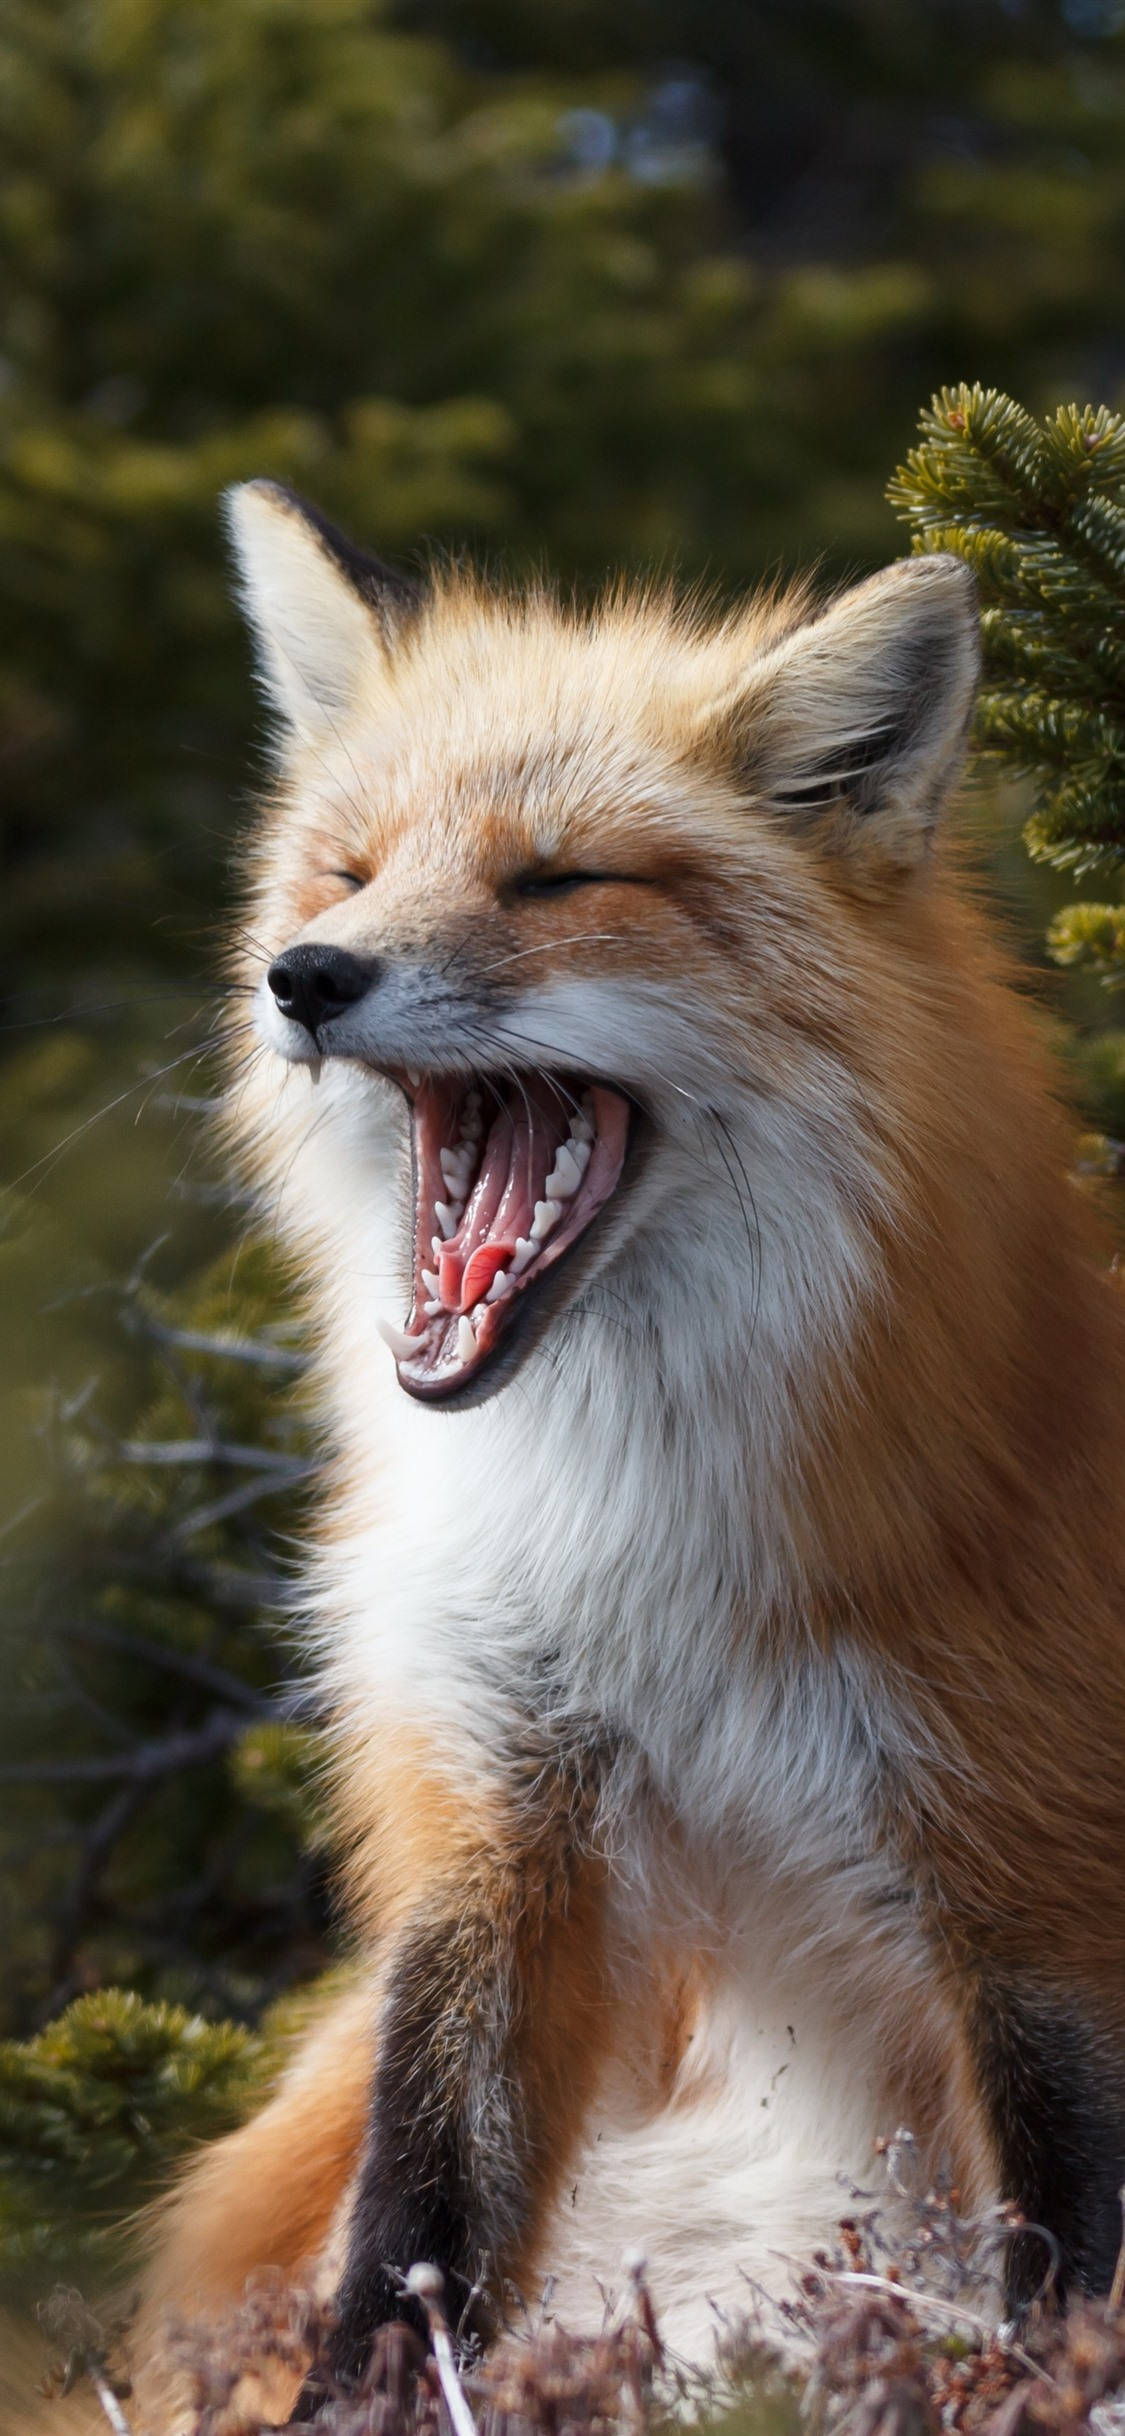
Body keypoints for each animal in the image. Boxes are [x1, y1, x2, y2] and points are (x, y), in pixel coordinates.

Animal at [34, 481, 1125, 2429]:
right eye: (348, 871)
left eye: (557, 881)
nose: (305, 977)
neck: (632, 1546)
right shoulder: (496, 1815)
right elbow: (414, 2234)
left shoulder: (1034, 1869)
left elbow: (1066, 2275)